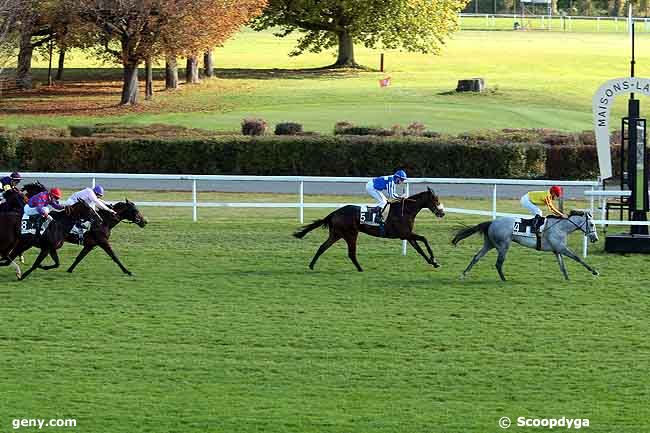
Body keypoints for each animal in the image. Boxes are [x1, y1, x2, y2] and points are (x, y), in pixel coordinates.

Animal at [294, 186, 442, 270]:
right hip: (351, 234)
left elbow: (419, 249)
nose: (442, 213)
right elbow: (424, 239)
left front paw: (433, 262)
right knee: (351, 253)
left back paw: (311, 265)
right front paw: (434, 260)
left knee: (322, 247)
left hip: (337, 234)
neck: (405, 211)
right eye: (435, 200)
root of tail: (334, 213)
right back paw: (360, 269)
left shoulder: (407, 235)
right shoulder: (404, 233)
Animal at [450, 210, 596, 280]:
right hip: (503, 245)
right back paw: (504, 279)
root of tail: (491, 222)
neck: (561, 227)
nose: (595, 238)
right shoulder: (561, 248)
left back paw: (463, 274)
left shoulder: (557, 250)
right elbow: (577, 258)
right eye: (592, 224)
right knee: (498, 263)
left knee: (476, 257)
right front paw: (594, 271)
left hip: (489, 244)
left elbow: (562, 266)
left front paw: (567, 278)